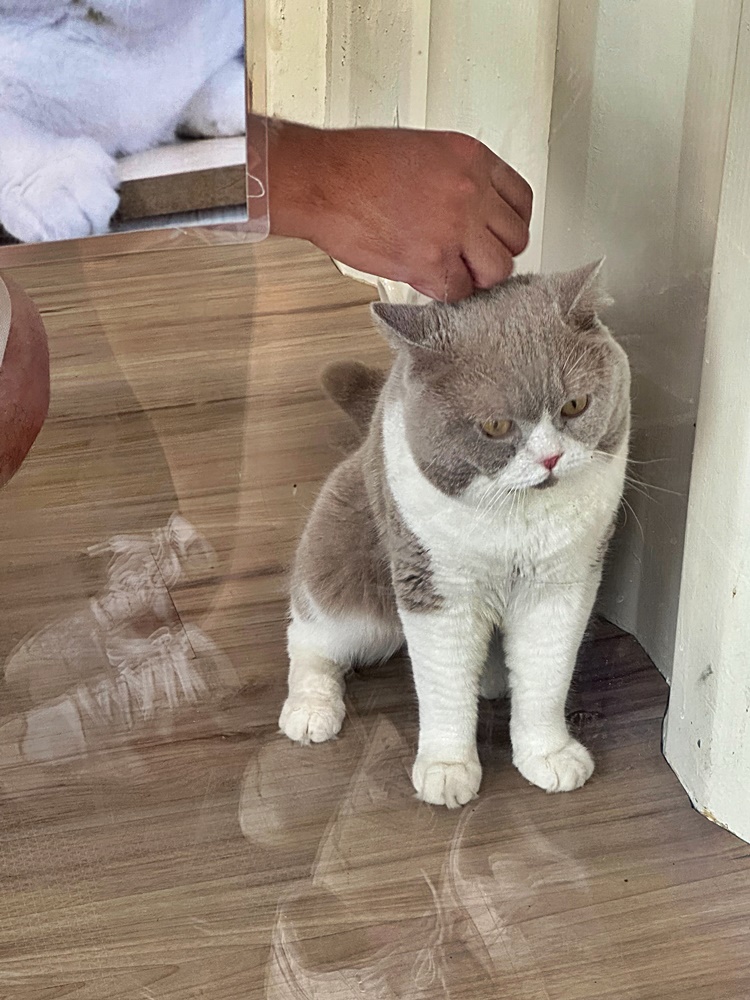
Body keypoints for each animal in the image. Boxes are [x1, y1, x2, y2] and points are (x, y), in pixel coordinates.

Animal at [282, 262, 636, 808]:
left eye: (575, 405)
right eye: (495, 426)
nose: (551, 458)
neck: (516, 519)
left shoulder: (563, 581)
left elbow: (547, 673)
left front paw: (548, 753)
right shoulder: (436, 586)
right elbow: (445, 684)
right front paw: (447, 769)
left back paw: (493, 678)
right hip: (347, 579)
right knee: (311, 637)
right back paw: (310, 708)